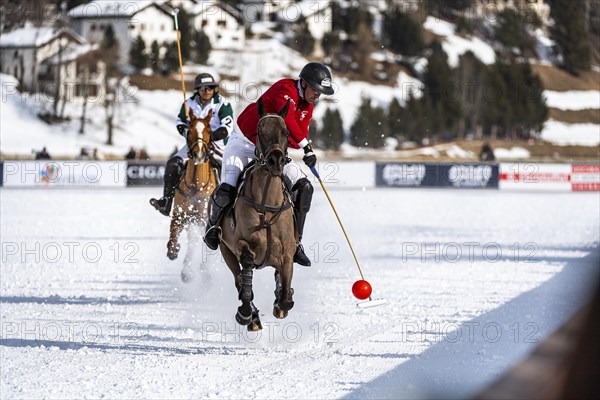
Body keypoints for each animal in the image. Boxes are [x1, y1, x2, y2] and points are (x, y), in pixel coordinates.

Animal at [166, 108, 218, 280]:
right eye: (189, 131)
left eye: (209, 130)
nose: (199, 154)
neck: (196, 186)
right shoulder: (180, 215)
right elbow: (174, 236)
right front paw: (174, 250)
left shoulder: (204, 219)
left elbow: (199, 241)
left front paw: (194, 270)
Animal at [219, 97, 296, 332]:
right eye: (260, 131)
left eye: (286, 132)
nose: (276, 161)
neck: (267, 205)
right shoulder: (242, 245)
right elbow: (246, 280)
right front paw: (246, 313)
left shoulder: (288, 252)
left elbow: (285, 295)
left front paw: (281, 301)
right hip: (225, 250)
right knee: (238, 280)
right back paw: (251, 316)